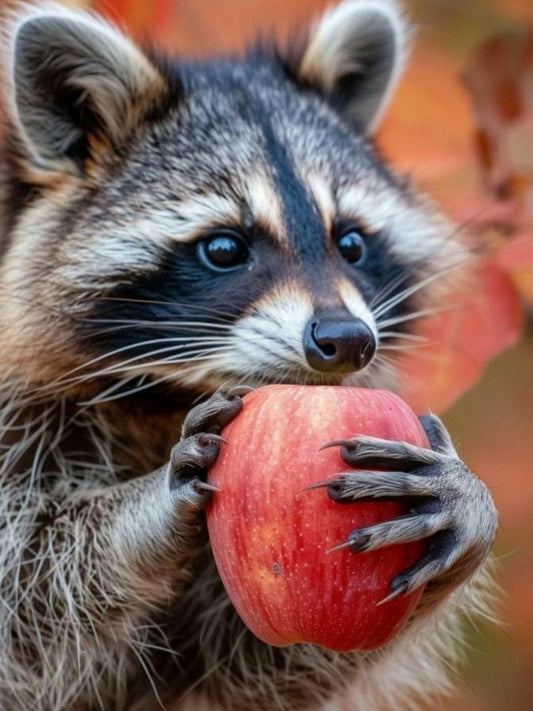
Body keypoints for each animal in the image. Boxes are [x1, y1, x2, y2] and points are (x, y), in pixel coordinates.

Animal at [0, 1, 498, 710]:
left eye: (351, 242)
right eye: (224, 248)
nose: (348, 339)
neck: (166, 394)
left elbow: (245, 661)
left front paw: (465, 506)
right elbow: (23, 590)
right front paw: (142, 511)